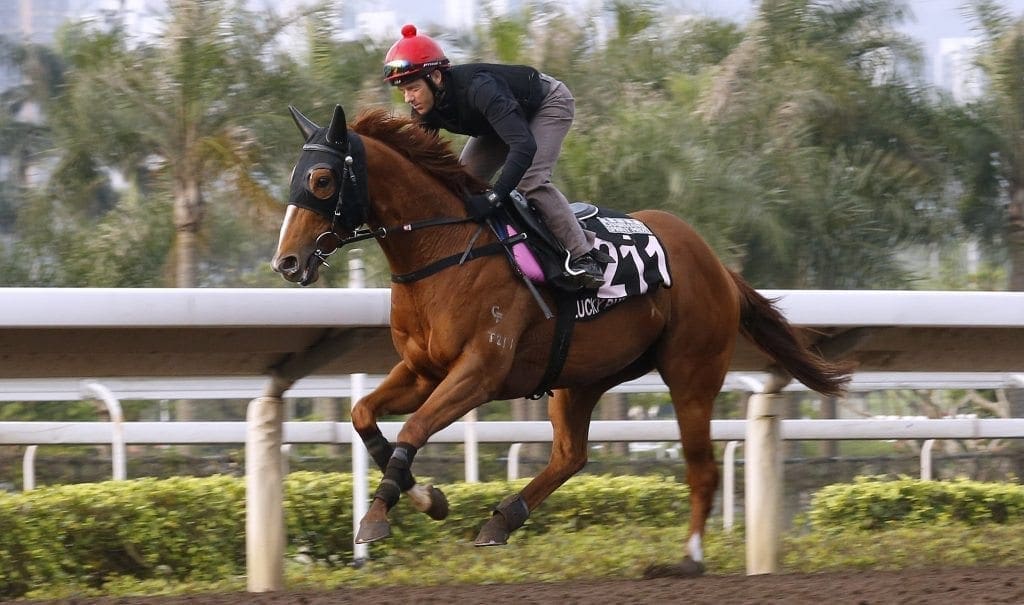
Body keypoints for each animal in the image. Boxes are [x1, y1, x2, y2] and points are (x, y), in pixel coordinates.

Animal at [270, 104, 847, 577]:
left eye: (321, 179)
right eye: (294, 178)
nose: (287, 262)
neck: (447, 249)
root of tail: (718, 265)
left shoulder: (480, 372)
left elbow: (412, 429)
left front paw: (382, 516)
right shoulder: (421, 370)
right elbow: (364, 417)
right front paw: (428, 500)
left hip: (691, 373)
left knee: (701, 469)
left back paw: (688, 560)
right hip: (581, 375)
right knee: (571, 455)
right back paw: (501, 520)